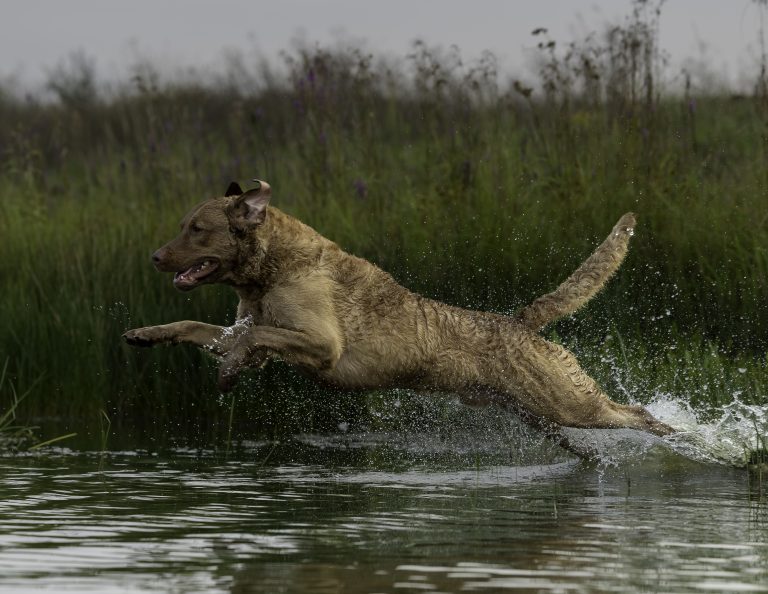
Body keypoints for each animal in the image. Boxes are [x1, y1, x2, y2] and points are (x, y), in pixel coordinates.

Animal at [123, 180, 674, 453]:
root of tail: (518, 321)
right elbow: (199, 328)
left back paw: (684, 436)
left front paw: (228, 371)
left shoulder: (321, 344)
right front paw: (145, 334)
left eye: (197, 229)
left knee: (637, 414)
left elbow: (252, 337)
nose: (153, 256)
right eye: (183, 225)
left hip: (567, 403)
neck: (269, 270)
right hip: (536, 416)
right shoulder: (246, 328)